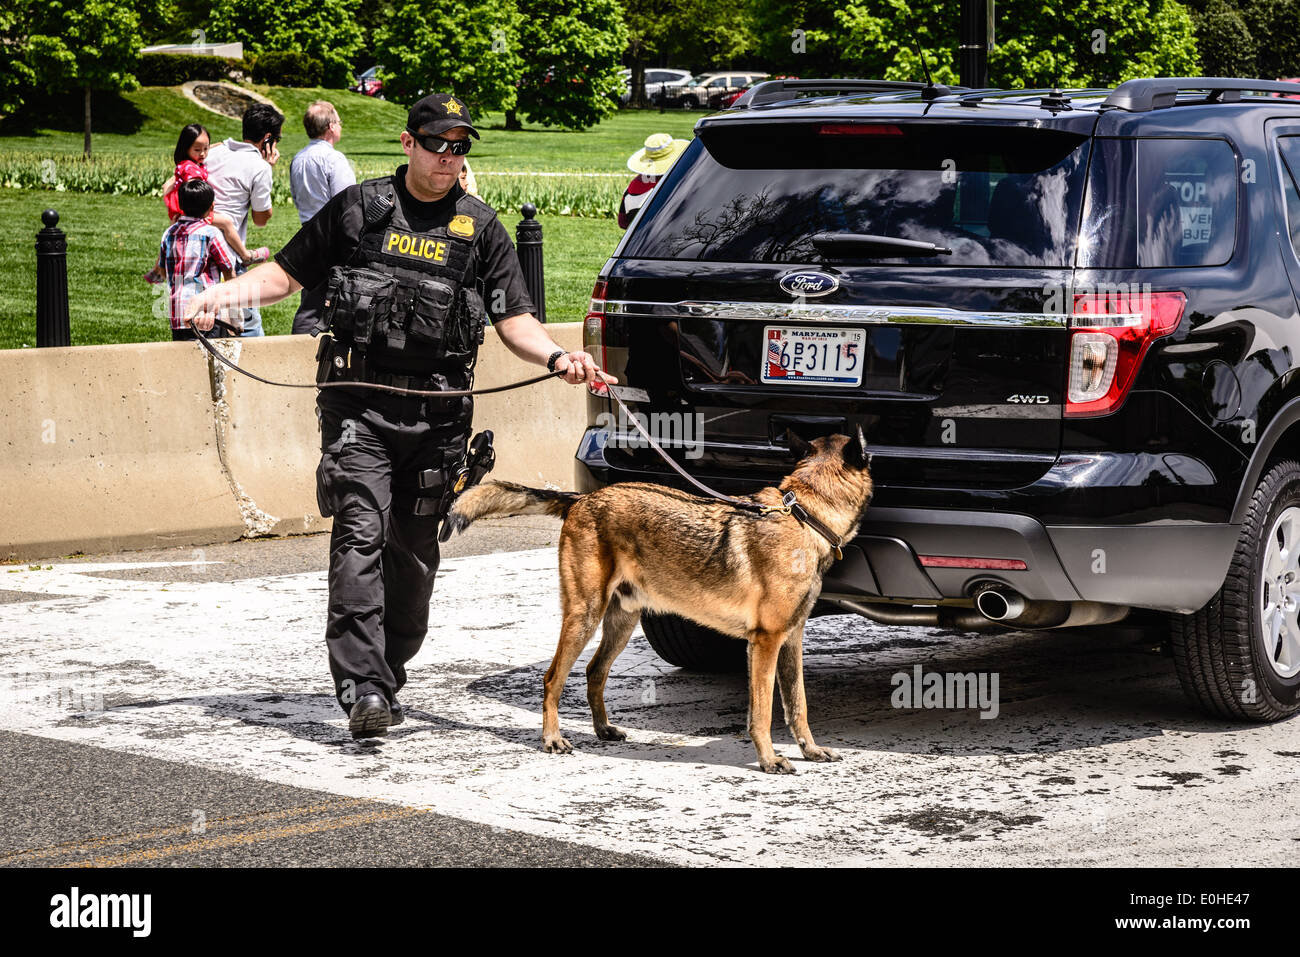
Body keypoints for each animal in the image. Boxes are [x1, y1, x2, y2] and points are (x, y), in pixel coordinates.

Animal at [447, 429, 873, 774]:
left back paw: (602, 728)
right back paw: (552, 738)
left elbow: (797, 705)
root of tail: (583, 498)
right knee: (553, 678)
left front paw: (811, 750)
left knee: (594, 673)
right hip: (584, 617)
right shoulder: (765, 644)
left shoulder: (791, 641)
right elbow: (763, 711)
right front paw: (769, 759)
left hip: (621, 624)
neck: (804, 514)